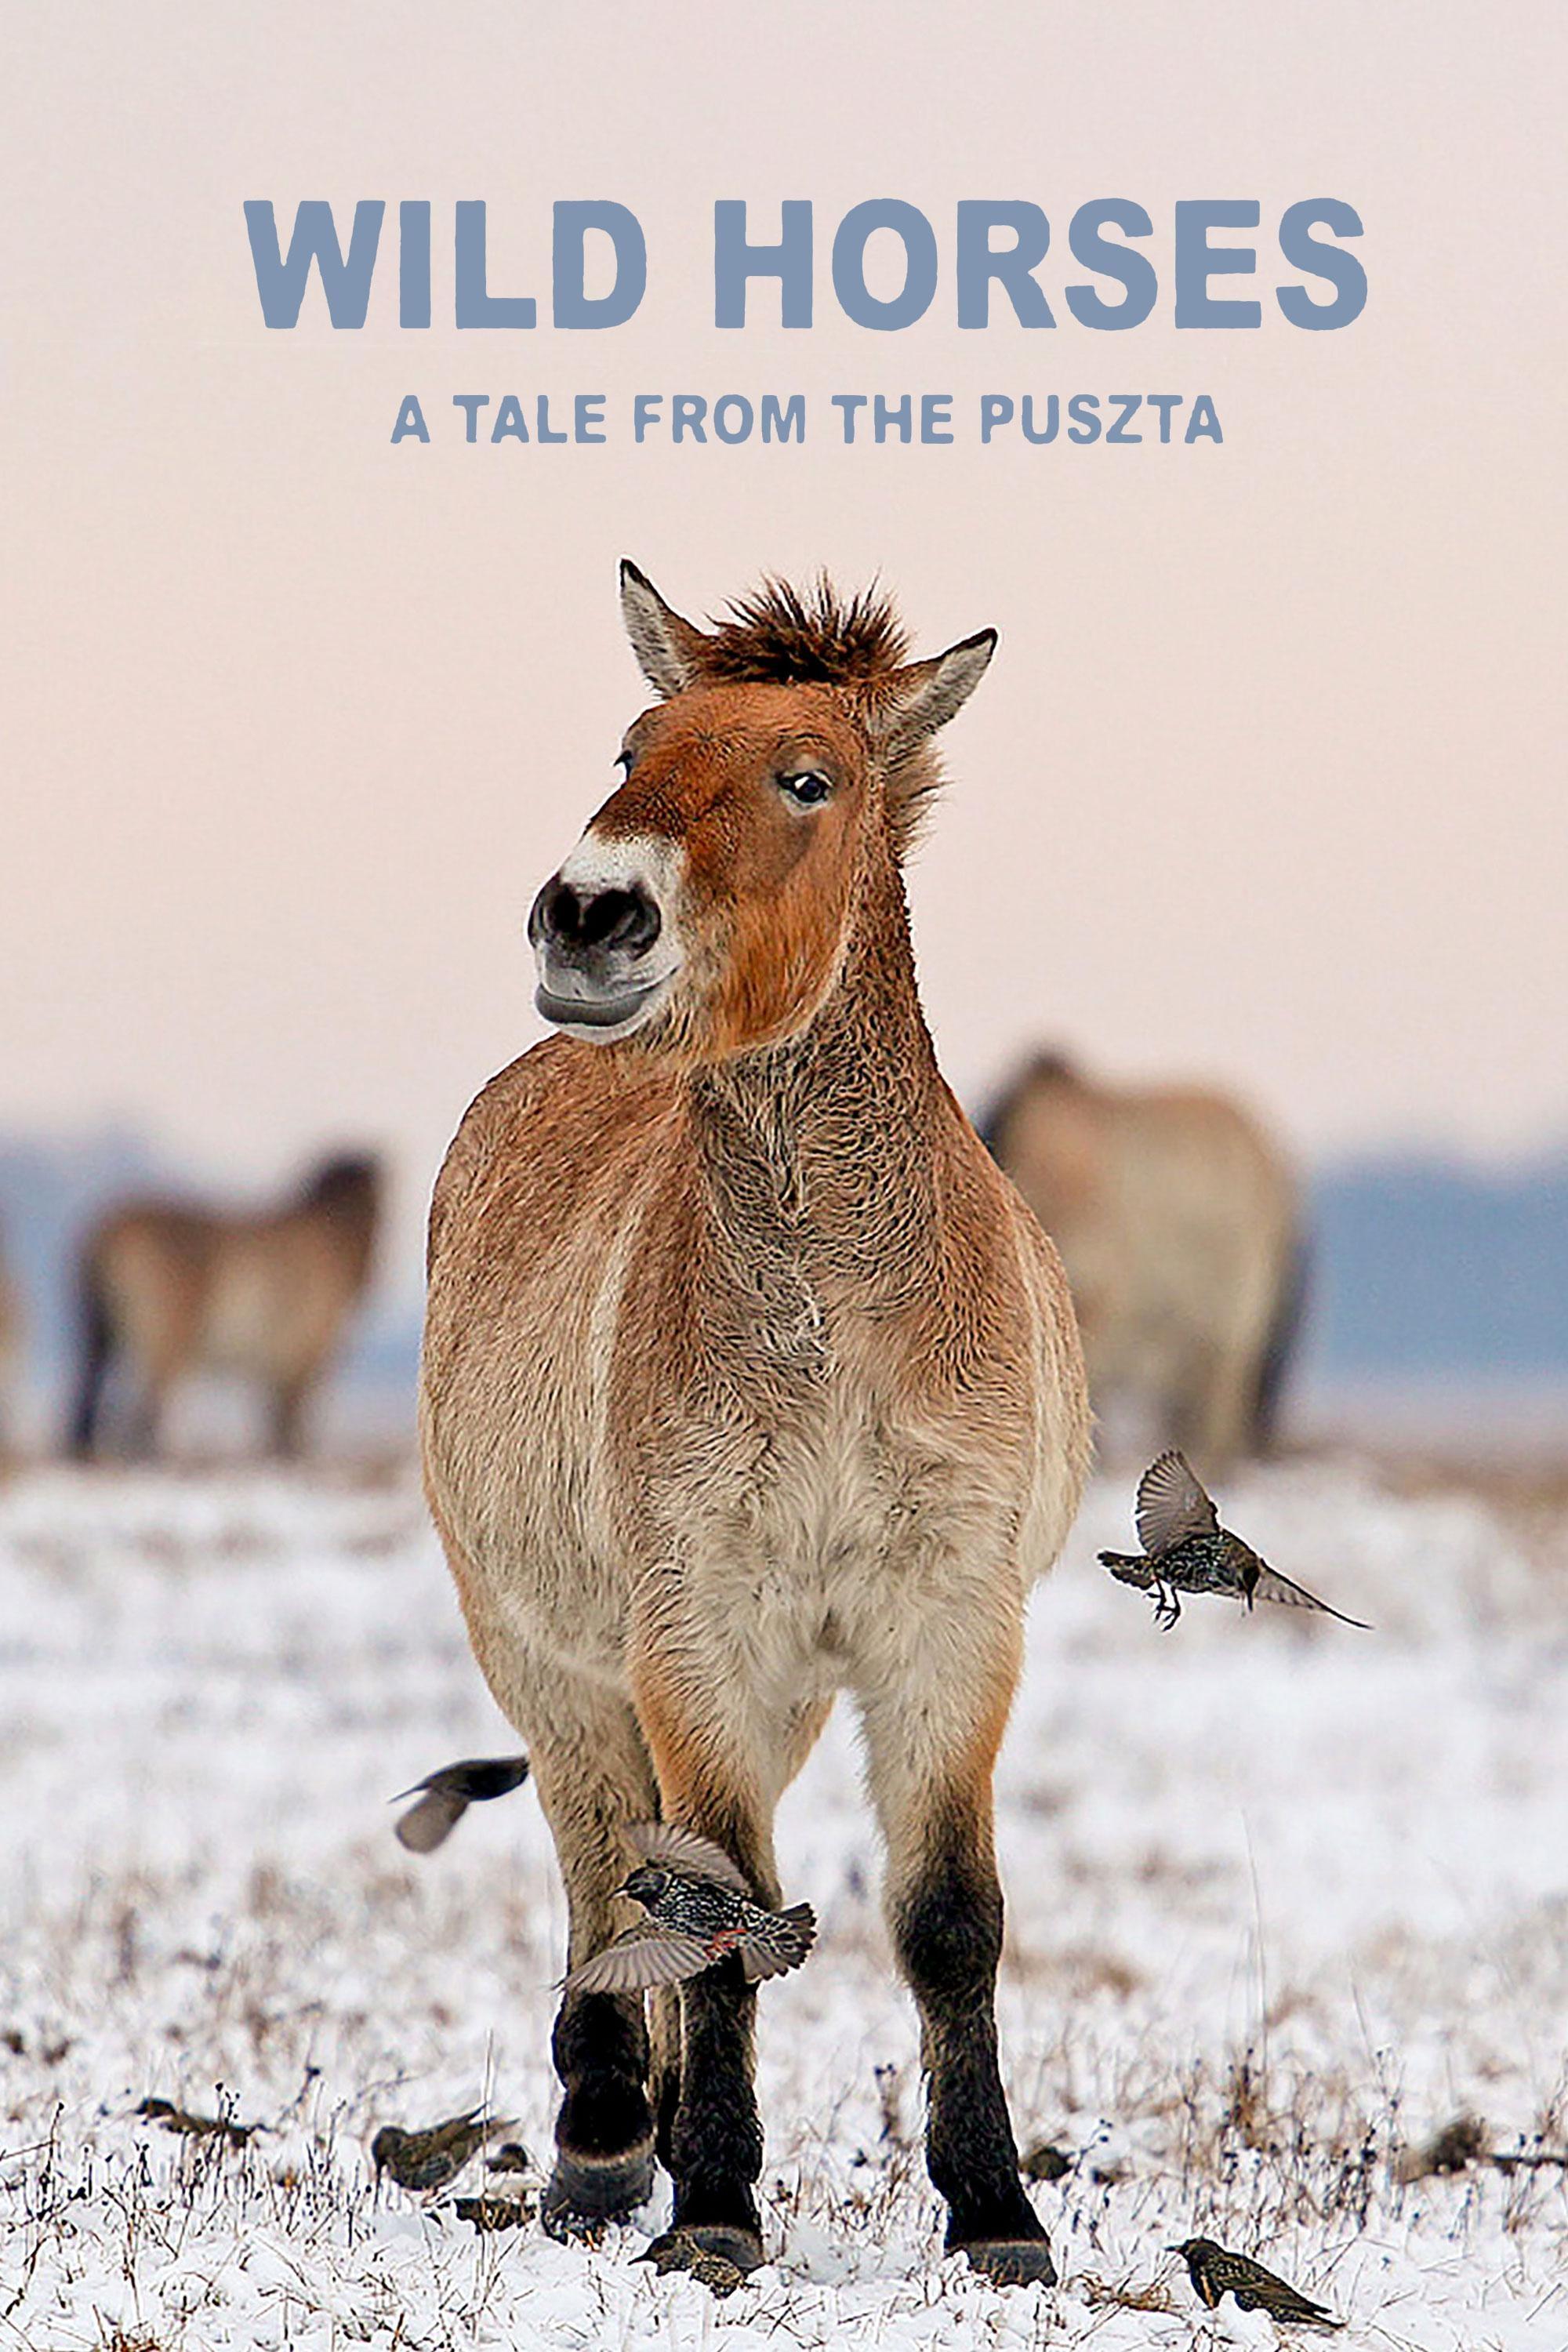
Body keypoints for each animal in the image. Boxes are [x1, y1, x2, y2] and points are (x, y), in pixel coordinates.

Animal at [68, 1153, 381, 1460]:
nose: (368, 1279)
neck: (330, 1236)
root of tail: (108, 1235)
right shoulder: (304, 1355)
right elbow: (290, 1419)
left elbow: (273, 1420)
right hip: (164, 1340)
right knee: (146, 1408)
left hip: (100, 1336)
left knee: (90, 1396)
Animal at [420, 564, 1090, 2284]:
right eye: (630, 746)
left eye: (808, 778)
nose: (591, 915)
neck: (835, 1314)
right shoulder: (695, 1636)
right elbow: (714, 1919)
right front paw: (713, 2208)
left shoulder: (947, 1629)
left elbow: (946, 1921)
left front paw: (997, 2214)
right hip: (556, 1660)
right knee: (606, 1859)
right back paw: (604, 2140)